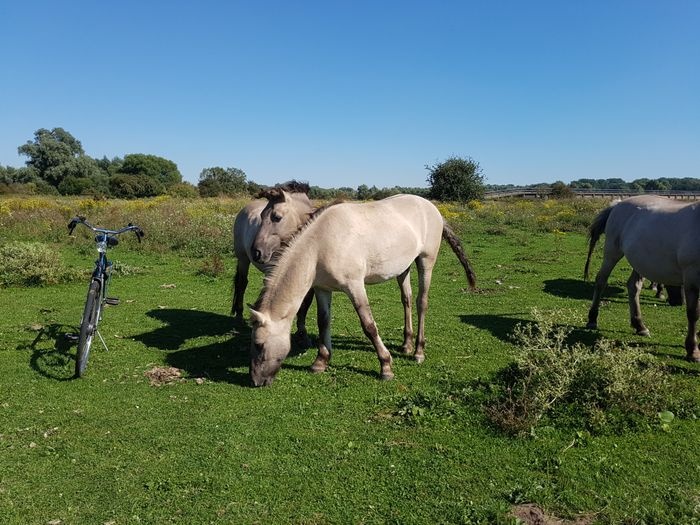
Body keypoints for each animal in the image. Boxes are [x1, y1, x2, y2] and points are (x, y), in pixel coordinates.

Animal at [231, 181, 315, 346]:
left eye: (277, 217)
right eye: (261, 216)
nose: (256, 252)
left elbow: (305, 305)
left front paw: (302, 333)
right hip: (243, 259)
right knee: (242, 284)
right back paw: (238, 316)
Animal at [248, 194, 477, 387]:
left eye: (259, 344)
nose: (256, 381)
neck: (320, 245)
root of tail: (432, 207)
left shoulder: (355, 286)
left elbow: (369, 326)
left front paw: (386, 366)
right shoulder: (322, 289)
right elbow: (324, 322)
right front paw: (321, 361)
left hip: (426, 262)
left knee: (422, 302)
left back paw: (419, 351)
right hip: (403, 268)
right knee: (407, 300)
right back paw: (406, 344)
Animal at [584, 195, 700, 362]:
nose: (677, 301)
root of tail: (617, 205)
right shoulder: (692, 277)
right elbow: (693, 314)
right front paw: (692, 350)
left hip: (639, 263)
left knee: (633, 286)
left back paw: (639, 325)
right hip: (612, 253)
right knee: (601, 281)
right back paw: (592, 319)